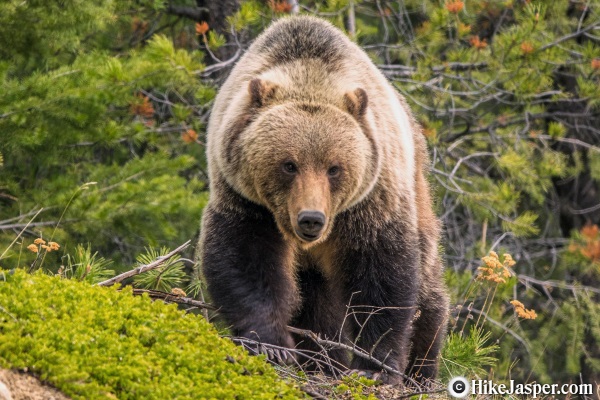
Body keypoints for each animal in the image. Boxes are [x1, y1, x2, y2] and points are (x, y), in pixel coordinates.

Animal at [199, 16, 448, 384]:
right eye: (289, 164)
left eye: (334, 168)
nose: (311, 218)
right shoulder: (246, 199)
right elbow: (247, 259)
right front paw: (271, 344)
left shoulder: (370, 202)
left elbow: (382, 275)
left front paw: (374, 366)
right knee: (318, 299)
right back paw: (322, 359)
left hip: (416, 189)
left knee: (427, 286)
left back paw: (422, 367)